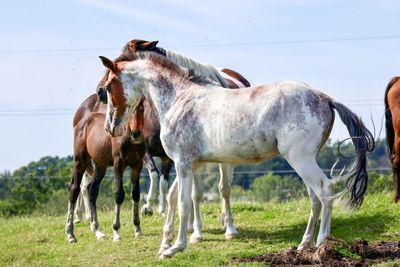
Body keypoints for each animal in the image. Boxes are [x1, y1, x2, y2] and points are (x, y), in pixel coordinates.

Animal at [65, 101, 147, 244]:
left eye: (141, 108)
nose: (136, 133)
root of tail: (81, 122)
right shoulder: (118, 164)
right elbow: (119, 194)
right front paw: (116, 232)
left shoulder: (137, 165)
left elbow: (136, 194)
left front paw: (138, 229)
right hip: (80, 161)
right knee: (74, 189)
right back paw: (71, 234)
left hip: (100, 166)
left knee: (92, 190)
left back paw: (97, 231)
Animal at [98, 51, 374, 260]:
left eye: (108, 87)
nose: (110, 127)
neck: (180, 99)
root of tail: (325, 98)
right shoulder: (190, 164)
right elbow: (175, 197)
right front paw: (166, 245)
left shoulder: (184, 164)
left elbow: (185, 203)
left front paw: (176, 247)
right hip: (304, 162)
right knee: (315, 198)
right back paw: (304, 244)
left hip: (300, 159)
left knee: (325, 192)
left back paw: (321, 244)